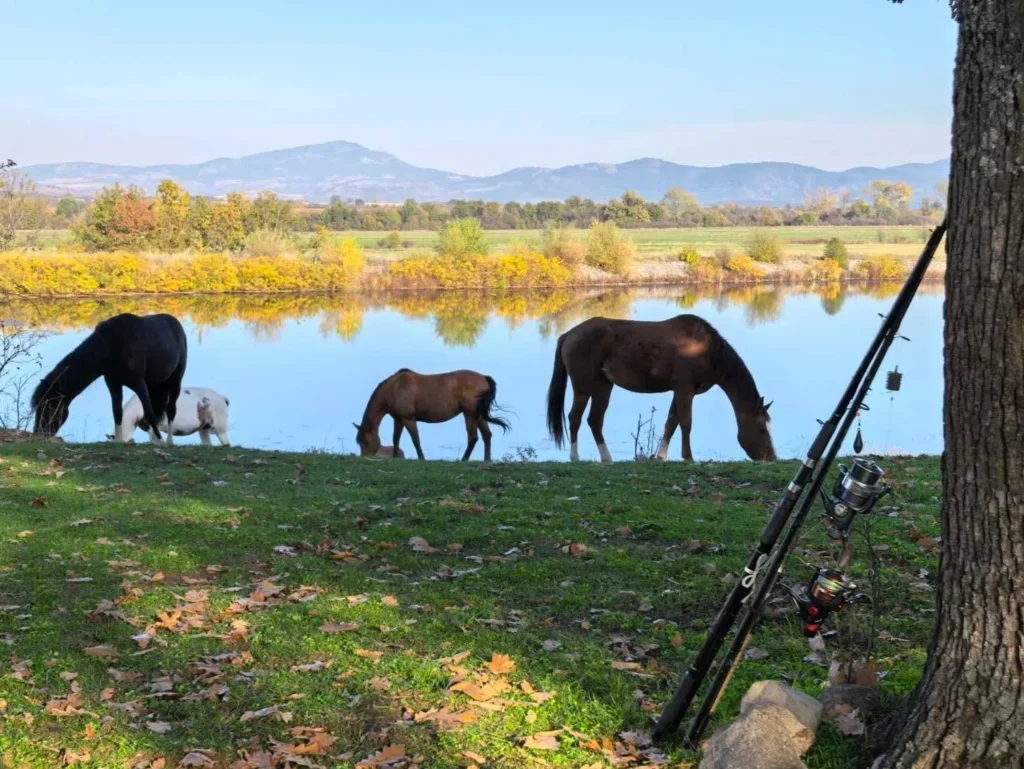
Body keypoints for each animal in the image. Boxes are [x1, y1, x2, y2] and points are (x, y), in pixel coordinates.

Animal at [32, 313, 187, 445]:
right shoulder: (113, 383)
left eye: (48, 407)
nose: (38, 433)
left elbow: (148, 412)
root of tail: (175, 322)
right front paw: (118, 440)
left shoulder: (139, 383)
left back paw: (168, 441)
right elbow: (117, 411)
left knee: (170, 409)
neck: (113, 345)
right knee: (159, 408)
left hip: (175, 381)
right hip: (156, 385)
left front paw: (161, 442)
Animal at [354, 369, 510, 461]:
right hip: (478, 415)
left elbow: (415, 440)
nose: (364, 457)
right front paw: (395, 457)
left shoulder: (408, 419)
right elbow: (395, 439)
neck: (394, 389)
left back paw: (464, 460)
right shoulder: (398, 419)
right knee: (486, 435)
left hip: (470, 414)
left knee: (473, 438)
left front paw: (421, 458)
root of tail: (483, 377)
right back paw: (487, 460)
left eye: (366, 441)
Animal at [546, 314, 775, 463]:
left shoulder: (679, 391)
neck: (707, 350)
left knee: (594, 420)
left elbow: (671, 423)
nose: (771, 457)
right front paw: (688, 457)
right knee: (575, 418)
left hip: (604, 386)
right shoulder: (684, 389)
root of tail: (569, 334)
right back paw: (575, 457)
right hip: (583, 387)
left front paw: (661, 456)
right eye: (761, 428)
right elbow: (686, 423)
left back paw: (606, 458)